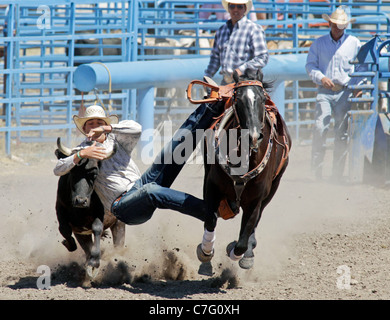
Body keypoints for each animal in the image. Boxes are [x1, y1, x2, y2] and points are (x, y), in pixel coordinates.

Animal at [197, 69, 290, 272]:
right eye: (238, 98)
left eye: (262, 98)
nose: (253, 135)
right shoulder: (212, 186)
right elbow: (210, 219)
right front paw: (205, 252)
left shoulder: (256, 199)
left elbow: (243, 238)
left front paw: (238, 251)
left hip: (274, 187)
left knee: (255, 222)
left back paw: (248, 251)